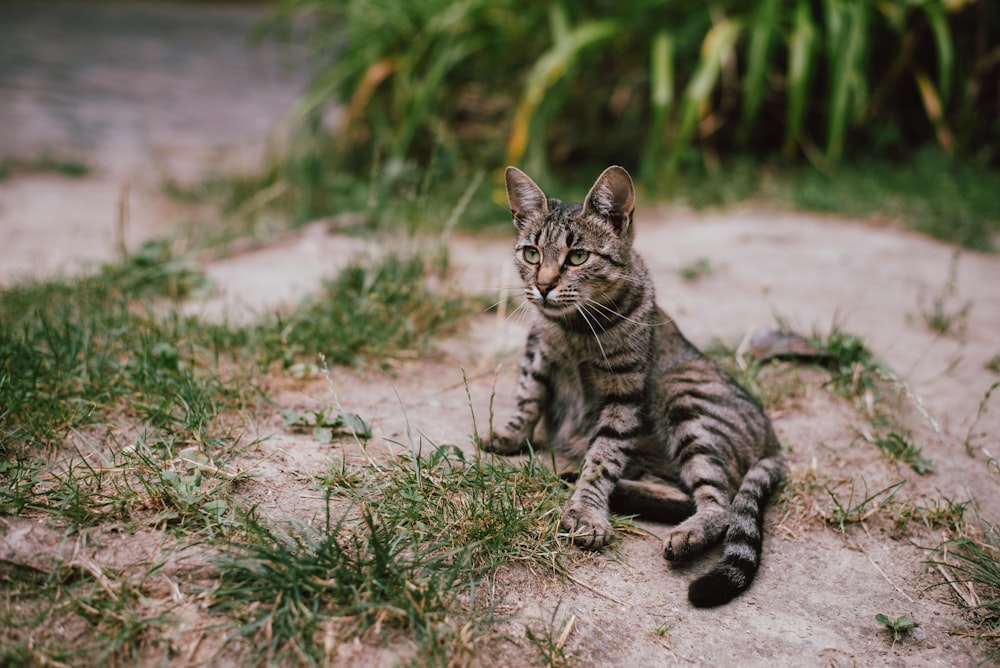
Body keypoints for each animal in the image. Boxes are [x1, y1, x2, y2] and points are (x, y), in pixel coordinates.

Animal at [486, 164, 788, 608]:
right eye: (531, 254)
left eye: (578, 256)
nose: (542, 286)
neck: (573, 330)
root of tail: (772, 440)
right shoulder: (537, 349)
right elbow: (528, 397)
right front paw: (511, 436)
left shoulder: (623, 392)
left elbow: (603, 457)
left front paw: (587, 512)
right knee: (682, 495)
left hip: (681, 396)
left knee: (722, 502)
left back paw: (684, 532)